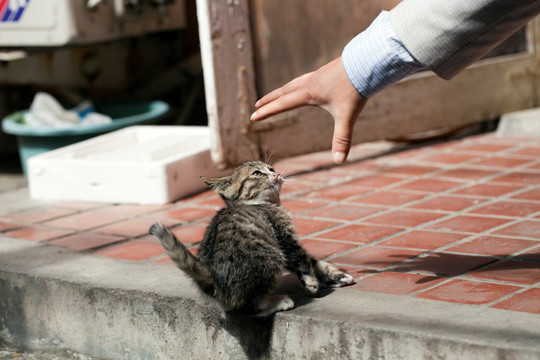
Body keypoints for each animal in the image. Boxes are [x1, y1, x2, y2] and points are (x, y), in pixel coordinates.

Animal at [151, 160, 354, 316]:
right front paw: (311, 281)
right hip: (271, 257)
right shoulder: (283, 236)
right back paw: (277, 302)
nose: (276, 174)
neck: (261, 203)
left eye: (271, 168)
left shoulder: (281, 242)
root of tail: (212, 274)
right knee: (249, 308)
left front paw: (336, 276)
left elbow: (314, 261)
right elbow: (302, 257)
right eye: (257, 173)